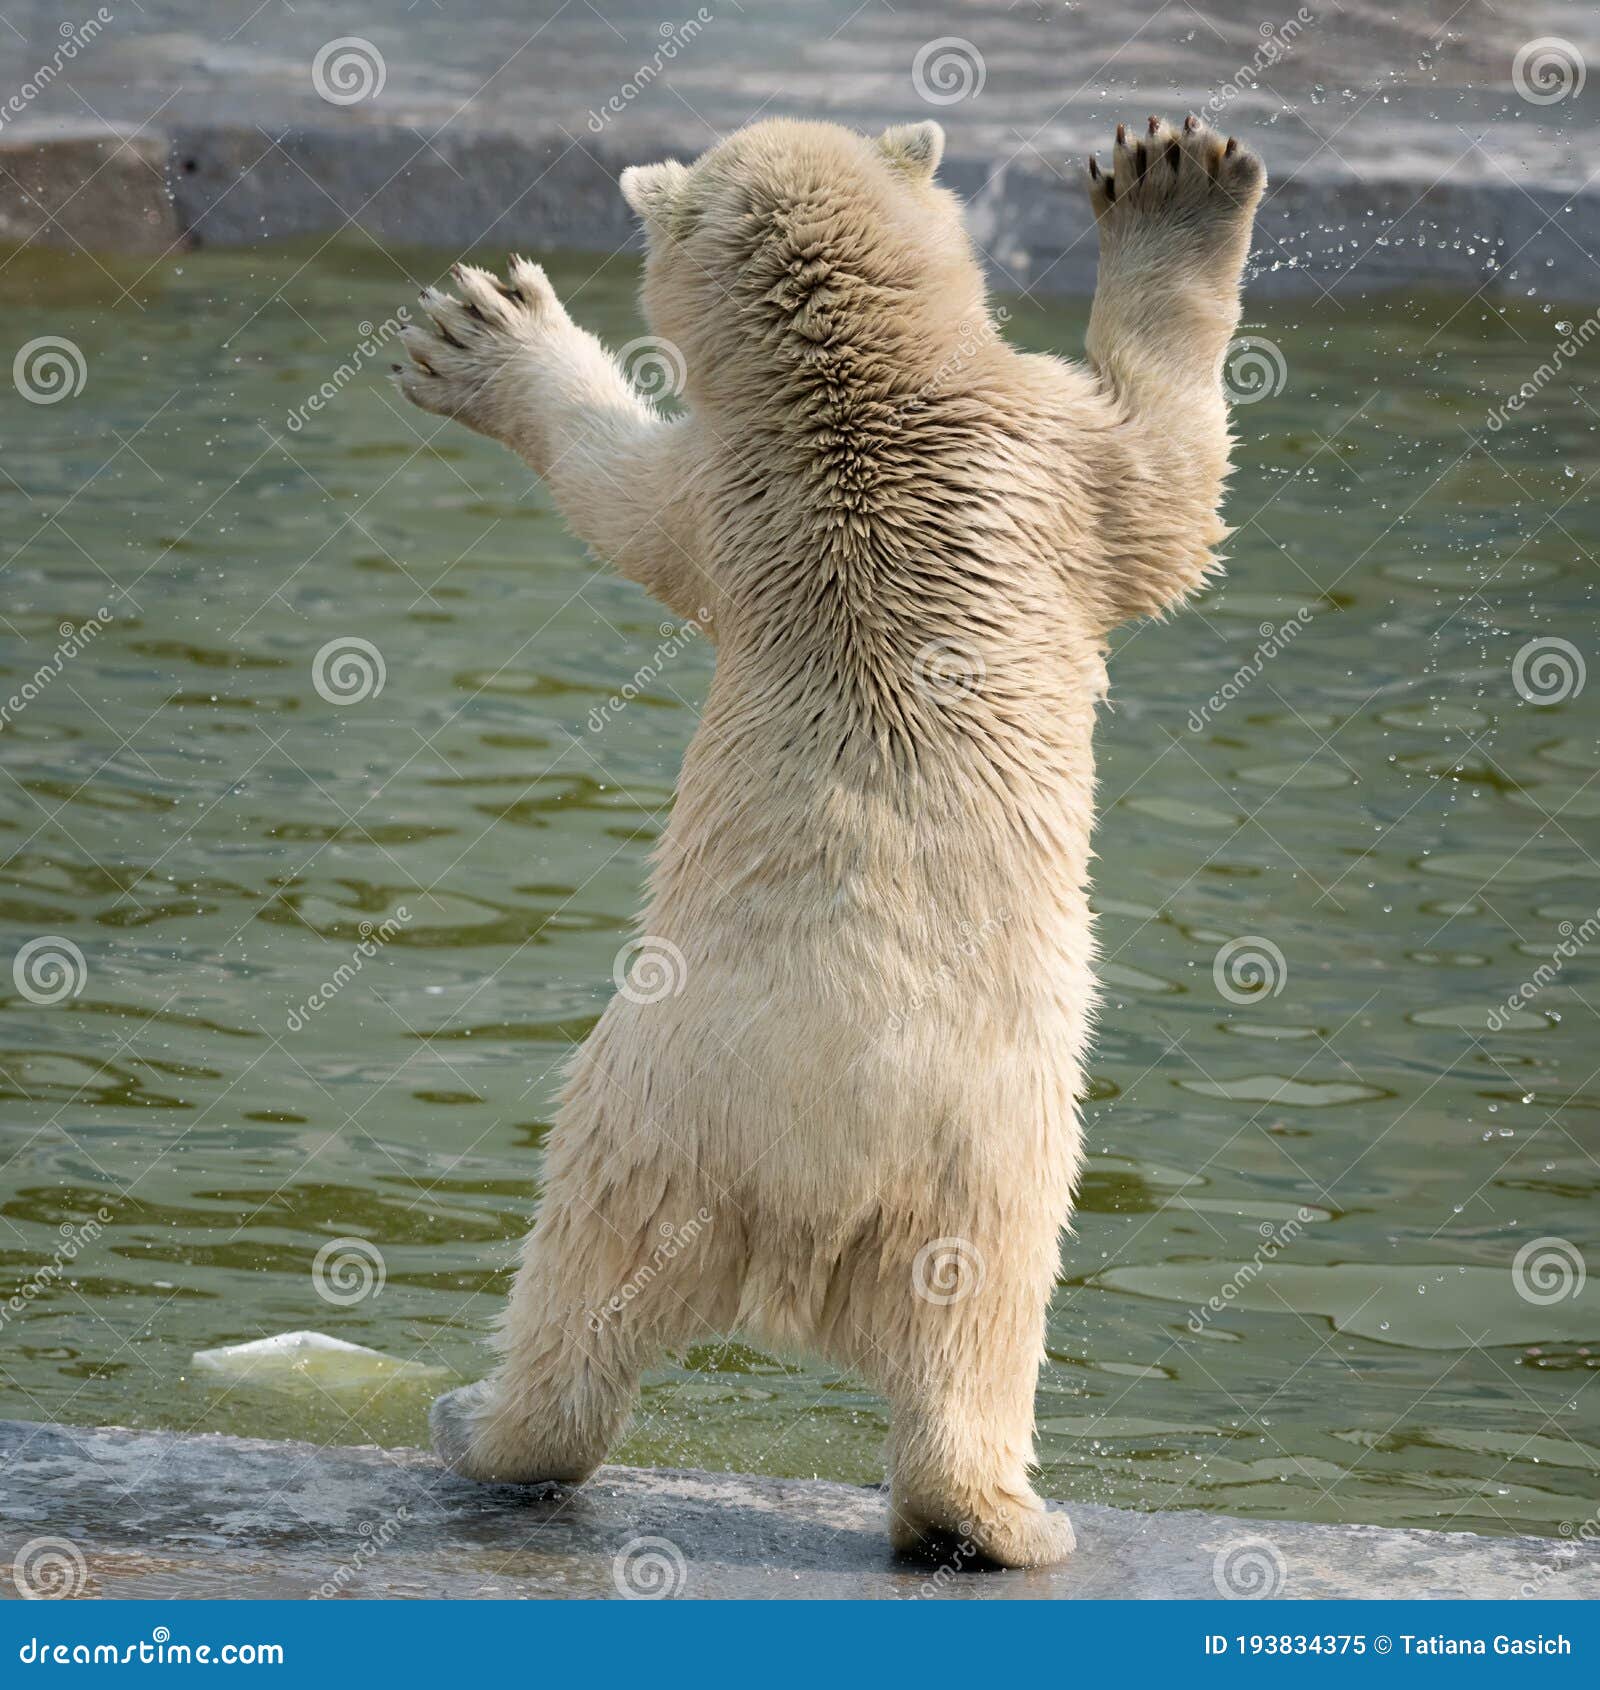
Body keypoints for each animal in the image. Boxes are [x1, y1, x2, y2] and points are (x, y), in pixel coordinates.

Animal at [397, 115, 1263, 1568]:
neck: (860, 406)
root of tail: (810, 1184)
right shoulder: (1003, 457)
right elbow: (1169, 478)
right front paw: (1178, 184)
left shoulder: (781, 486)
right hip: (859, 1146)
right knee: (941, 1331)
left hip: (772, 1153)